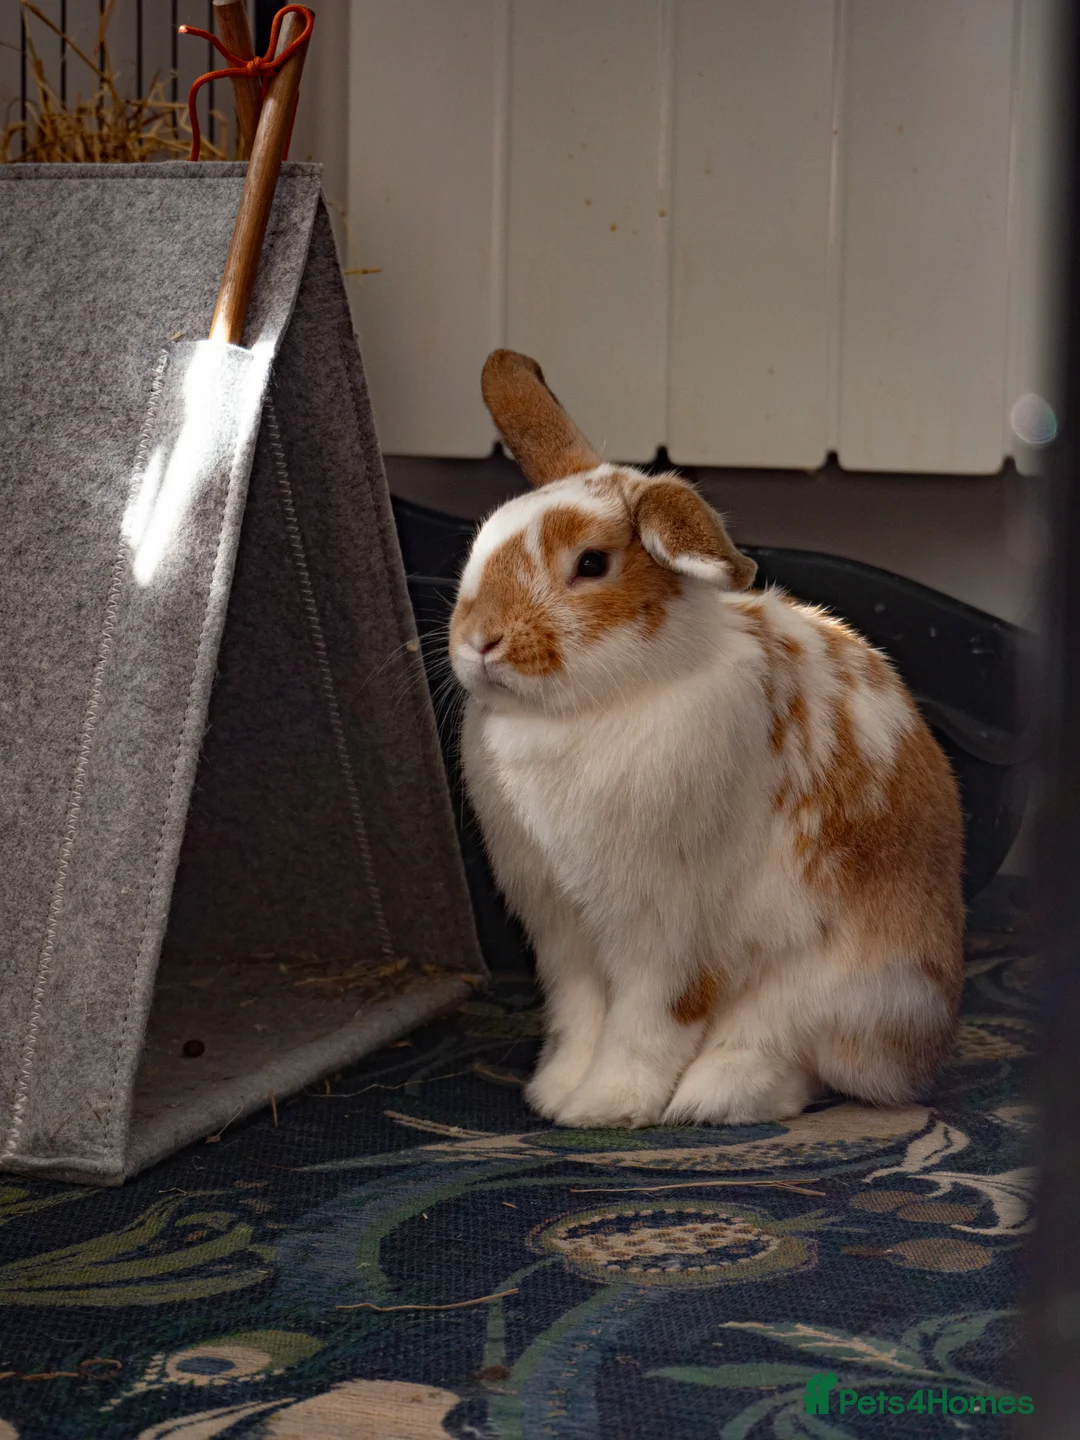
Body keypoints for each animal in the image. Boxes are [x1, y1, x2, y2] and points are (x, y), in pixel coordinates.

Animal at [449, 348, 964, 1128]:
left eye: (591, 564)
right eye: (481, 543)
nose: (480, 641)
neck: (589, 708)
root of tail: (927, 1043)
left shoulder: (663, 933)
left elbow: (647, 1022)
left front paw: (604, 1107)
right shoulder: (562, 933)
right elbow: (580, 1017)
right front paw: (555, 1094)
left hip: (833, 992)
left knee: (790, 1058)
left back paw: (712, 1098)